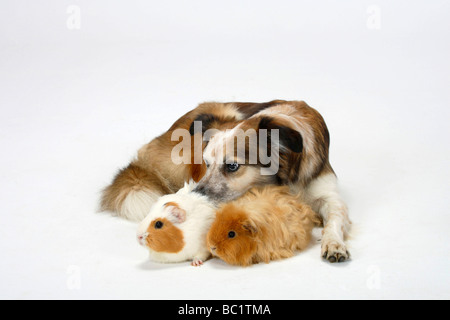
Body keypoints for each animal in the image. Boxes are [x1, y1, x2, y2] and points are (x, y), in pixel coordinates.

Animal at [100, 100, 350, 262]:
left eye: (232, 166)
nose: (196, 196)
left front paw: (334, 243)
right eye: (207, 163)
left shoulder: (329, 193)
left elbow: (335, 218)